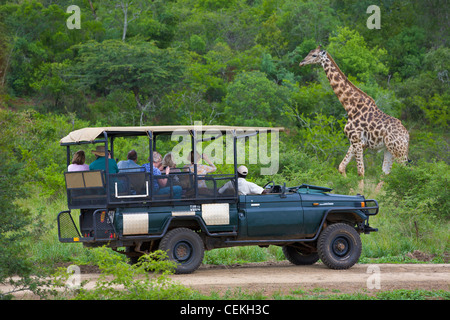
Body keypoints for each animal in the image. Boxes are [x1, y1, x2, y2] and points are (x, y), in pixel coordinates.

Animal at [300, 46, 410, 179]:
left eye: (314, 55)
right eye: (309, 53)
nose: (301, 62)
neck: (351, 107)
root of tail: (407, 135)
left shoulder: (357, 141)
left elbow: (360, 172)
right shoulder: (355, 142)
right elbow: (341, 167)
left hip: (399, 151)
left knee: (406, 171)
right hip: (389, 150)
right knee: (385, 173)